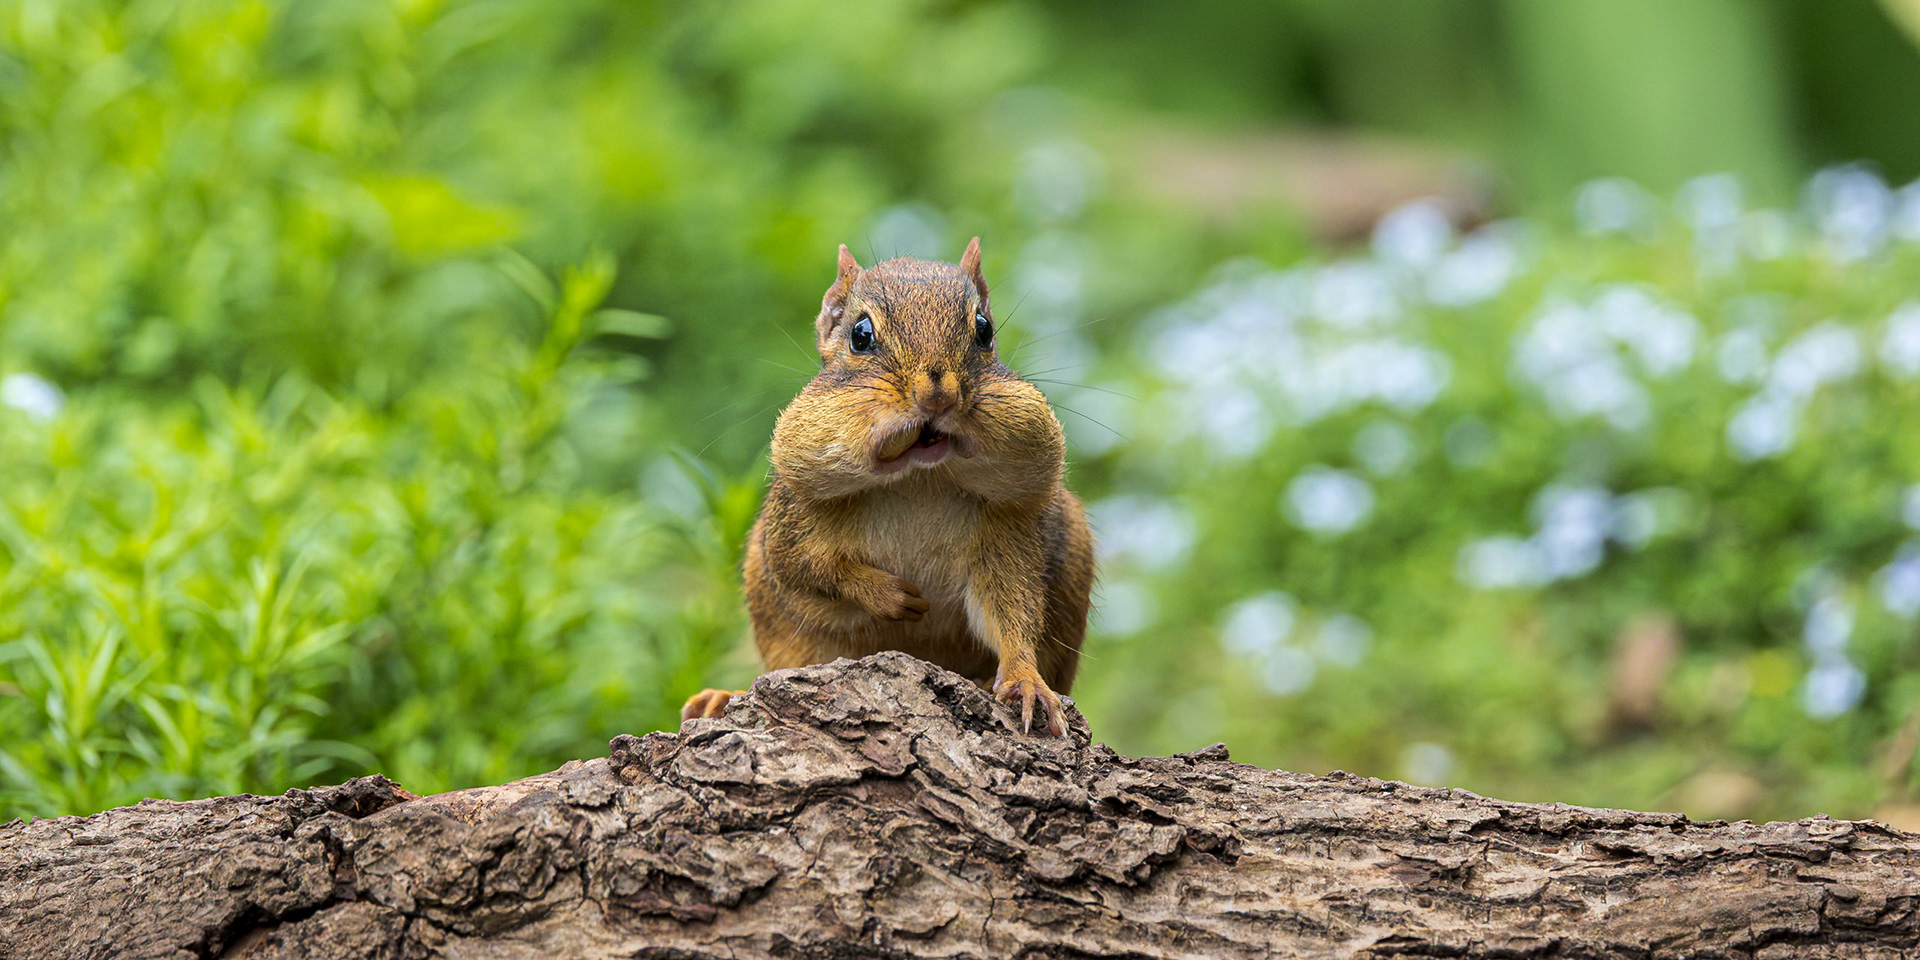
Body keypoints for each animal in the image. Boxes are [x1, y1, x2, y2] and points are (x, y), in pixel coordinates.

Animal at [681, 238, 1095, 736]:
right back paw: (722, 698)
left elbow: (1010, 608)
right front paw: (889, 595)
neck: (921, 482)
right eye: (860, 335)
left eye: (984, 330)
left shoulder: (1006, 531)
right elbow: (807, 568)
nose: (937, 395)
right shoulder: (790, 524)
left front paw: (1024, 679)